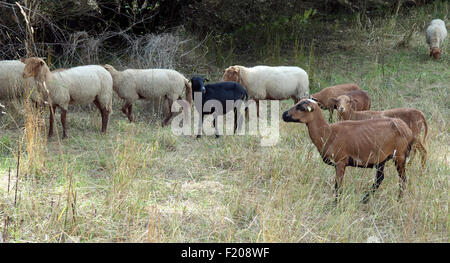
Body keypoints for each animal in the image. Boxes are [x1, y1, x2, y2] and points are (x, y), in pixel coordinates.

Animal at [284, 99, 414, 204]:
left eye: (301, 107)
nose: (283, 115)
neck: (328, 133)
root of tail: (407, 130)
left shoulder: (340, 161)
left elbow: (338, 186)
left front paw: (335, 205)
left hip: (399, 156)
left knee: (402, 179)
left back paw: (399, 200)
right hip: (381, 159)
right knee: (380, 178)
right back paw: (364, 200)